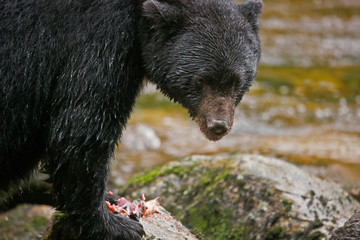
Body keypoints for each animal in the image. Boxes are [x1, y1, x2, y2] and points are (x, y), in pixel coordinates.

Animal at [1, 0, 262, 239]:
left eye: (237, 81)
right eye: (201, 80)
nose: (218, 126)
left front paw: (114, 199)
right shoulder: (101, 41)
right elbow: (81, 129)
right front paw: (112, 223)